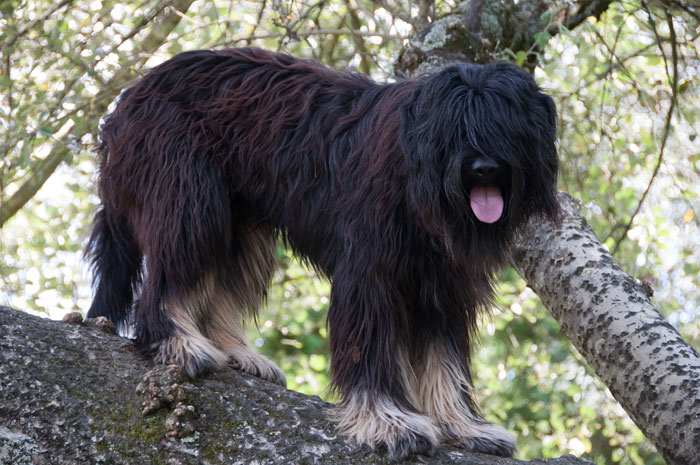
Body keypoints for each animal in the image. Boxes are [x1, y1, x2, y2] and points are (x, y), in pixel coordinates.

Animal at [86, 47, 556, 456]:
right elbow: (369, 346)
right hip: (190, 198)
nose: (484, 170)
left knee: (218, 284)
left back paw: (237, 353)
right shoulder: (369, 270)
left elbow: (444, 362)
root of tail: (129, 98)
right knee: (165, 282)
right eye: (457, 129)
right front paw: (388, 422)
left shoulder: (439, 285)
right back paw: (180, 343)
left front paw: (463, 426)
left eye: (506, 125)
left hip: (237, 222)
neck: (414, 168)